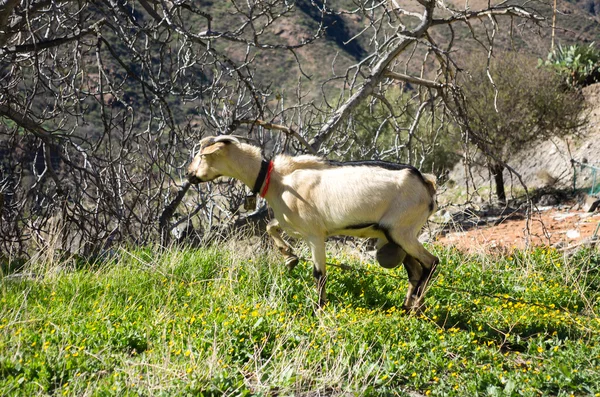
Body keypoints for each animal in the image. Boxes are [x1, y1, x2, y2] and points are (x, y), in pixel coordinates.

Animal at [188, 135, 440, 310]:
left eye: (202, 156)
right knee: (415, 270)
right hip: (395, 236)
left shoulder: (315, 235)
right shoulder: (291, 224)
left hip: (401, 231)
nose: (190, 175)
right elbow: (271, 227)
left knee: (431, 263)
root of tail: (427, 183)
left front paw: (318, 309)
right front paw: (289, 256)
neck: (279, 179)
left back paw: (415, 306)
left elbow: (320, 275)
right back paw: (407, 308)